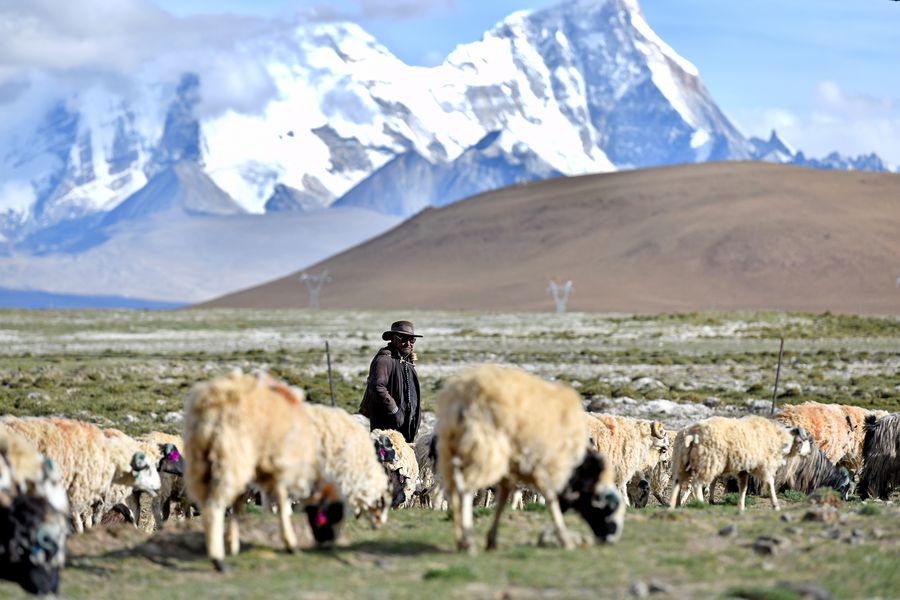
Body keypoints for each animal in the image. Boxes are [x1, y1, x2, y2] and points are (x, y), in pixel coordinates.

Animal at [183, 370, 324, 572]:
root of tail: (213, 403)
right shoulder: (279, 466)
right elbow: (282, 503)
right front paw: (290, 543)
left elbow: (238, 504)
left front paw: (232, 542)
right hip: (231, 456)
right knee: (214, 506)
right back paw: (218, 560)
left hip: (200, 460)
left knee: (206, 502)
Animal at [434, 360, 620, 552]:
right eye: (610, 509)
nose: (610, 539)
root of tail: (461, 397)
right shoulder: (543, 465)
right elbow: (550, 499)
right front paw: (564, 538)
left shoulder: (513, 471)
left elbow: (503, 500)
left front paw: (492, 538)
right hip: (485, 449)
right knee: (464, 490)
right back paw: (467, 540)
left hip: (450, 449)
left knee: (453, 490)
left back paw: (459, 537)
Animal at [664, 418, 812, 510]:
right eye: (802, 441)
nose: (809, 453)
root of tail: (690, 434)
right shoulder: (765, 465)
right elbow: (770, 483)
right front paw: (775, 505)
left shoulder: (744, 469)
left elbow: (743, 487)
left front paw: (741, 506)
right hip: (709, 461)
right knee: (696, 484)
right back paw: (700, 503)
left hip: (681, 462)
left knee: (677, 483)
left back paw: (675, 505)